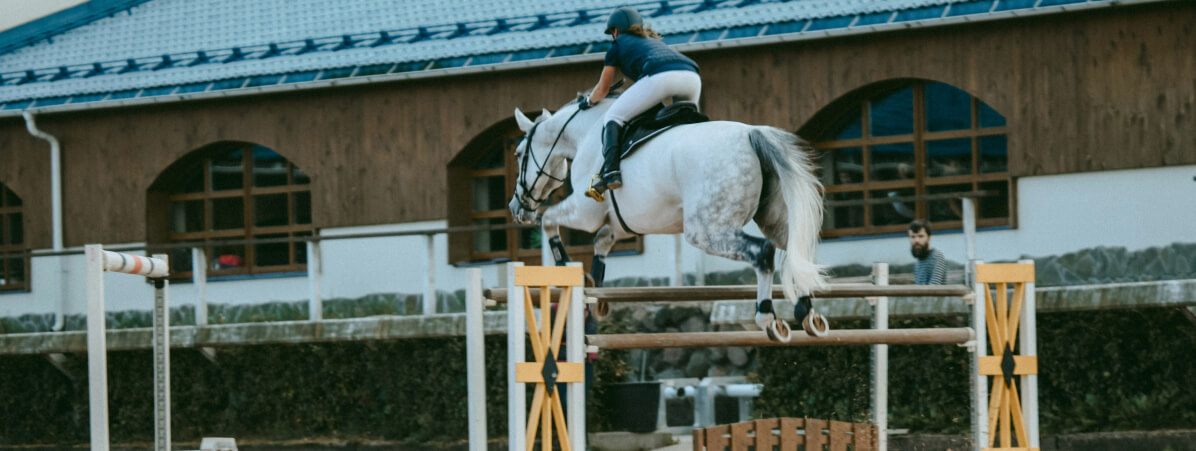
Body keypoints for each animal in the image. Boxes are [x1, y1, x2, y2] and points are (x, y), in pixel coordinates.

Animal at [507, 95, 828, 341]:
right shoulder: (625, 222)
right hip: (772, 219)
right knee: (793, 252)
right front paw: (597, 291)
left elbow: (549, 220)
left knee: (762, 252)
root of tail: (752, 135)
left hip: (705, 231)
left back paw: (768, 317)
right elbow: (602, 240)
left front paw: (565, 266)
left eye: (519, 153)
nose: (515, 207)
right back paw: (807, 313)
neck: (584, 134)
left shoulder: (586, 212)